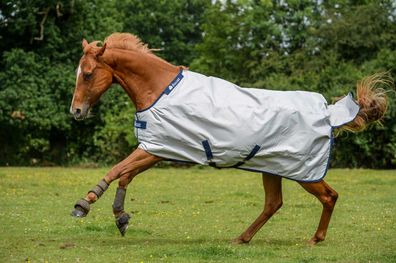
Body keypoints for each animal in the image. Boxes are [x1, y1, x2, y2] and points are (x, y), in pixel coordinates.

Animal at [69, 32, 390, 245]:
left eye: (88, 74)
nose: (76, 111)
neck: (159, 89)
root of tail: (328, 112)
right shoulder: (159, 148)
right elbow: (125, 175)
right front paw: (120, 217)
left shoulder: (154, 148)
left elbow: (116, 170)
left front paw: (84, 205)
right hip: (272, 168)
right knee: (273, 204)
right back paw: (242, 239)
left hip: (304, 172)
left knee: (328, 196)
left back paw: (315, 239)